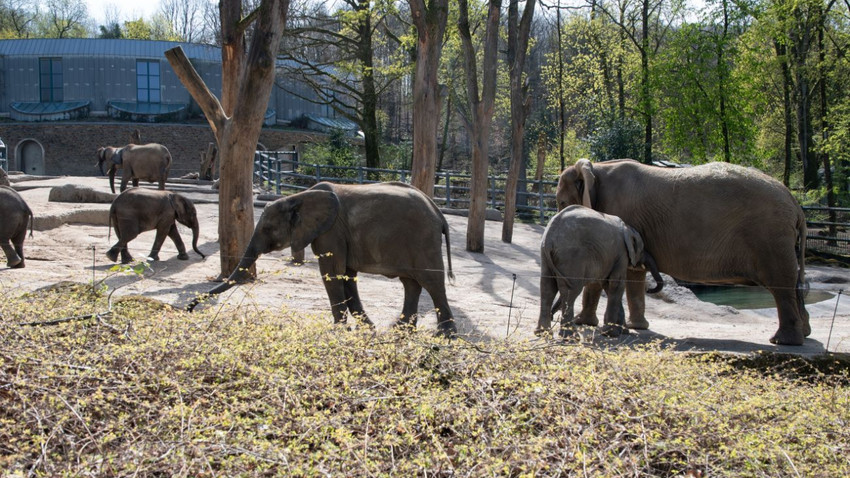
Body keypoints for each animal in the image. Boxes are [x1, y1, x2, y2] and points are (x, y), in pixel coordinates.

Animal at [188, 180, 458, 336]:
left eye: (267, 229)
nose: (190, 308)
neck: (300, 197)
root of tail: (439, 213)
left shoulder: (331, 231)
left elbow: (331, 272)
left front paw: (338, 331)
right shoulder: (337, 235)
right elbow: (346, 275)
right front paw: (365, 329)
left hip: (423, 239)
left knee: (431, 282)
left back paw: (444, 336)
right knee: (411, 283)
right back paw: (400, 331)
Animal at [536, 205, 664, 340]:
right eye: (641, 249)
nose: (648, 290)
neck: (628, 229)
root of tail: (550, 235)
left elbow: (608, 285)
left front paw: (621, 332)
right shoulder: (621, 254)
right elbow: (616, 285)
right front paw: (611, 333)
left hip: (547, 255)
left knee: (547, 287)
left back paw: (543, 333)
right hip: (572, 256)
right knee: (571, 290)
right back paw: (572, 337)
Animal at [552, 159, 804, 346]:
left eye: (562, 203)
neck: (595, 167)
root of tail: (795, 203)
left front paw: (585, 323)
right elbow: (632, 273)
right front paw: (632, 328)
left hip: (770, 238)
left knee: (781, 285)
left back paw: (782, 341)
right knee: (795, 284)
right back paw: (803, 334)